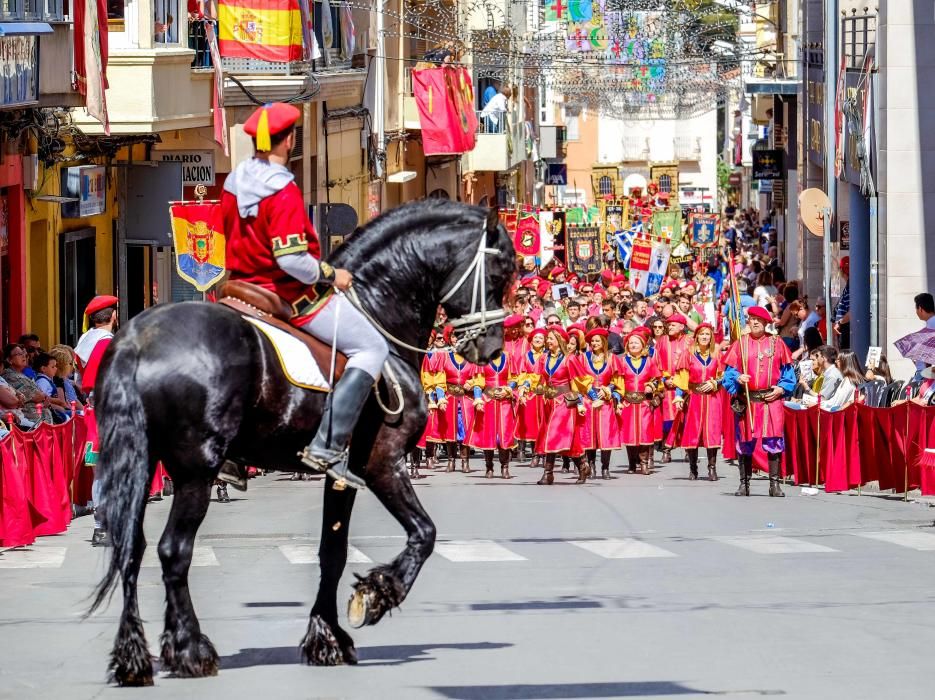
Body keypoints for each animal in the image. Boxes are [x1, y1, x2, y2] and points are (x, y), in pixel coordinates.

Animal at [88, 200, 516, 688]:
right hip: (195, 470)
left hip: (142, 466)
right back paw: (191, 650)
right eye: (501, 272)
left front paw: (326, 639)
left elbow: (332, 552)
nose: (491, 348)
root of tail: (136, 340)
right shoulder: (380, 462)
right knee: (173, 551)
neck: (377, 311)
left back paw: (133, 659)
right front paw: (375, 596)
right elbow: (423, 534)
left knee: (131, 549)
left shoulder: (341, 475)